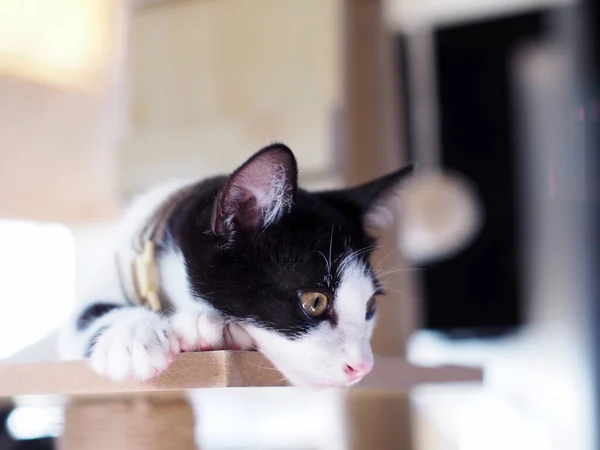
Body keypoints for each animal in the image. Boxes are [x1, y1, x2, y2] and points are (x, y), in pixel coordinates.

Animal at [57, 143, 412, 386]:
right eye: (315, 301)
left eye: (369, 307)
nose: (363, 366)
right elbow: (84, 317)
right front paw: (132, 338)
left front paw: (213, 328)